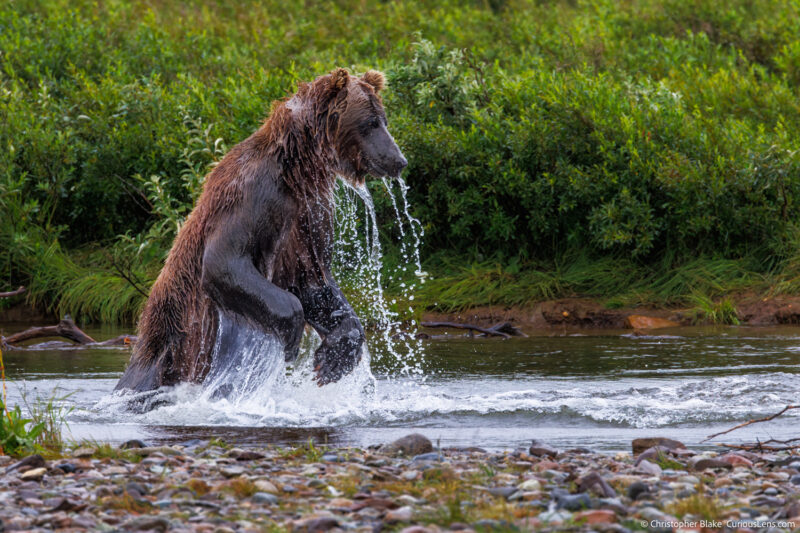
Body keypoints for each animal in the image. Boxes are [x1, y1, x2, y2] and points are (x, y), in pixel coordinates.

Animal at [114, 68, 406, 392]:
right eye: (371, 122)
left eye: (383, 119)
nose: (399, 160)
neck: (298, 169)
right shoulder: (254, 196)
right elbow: (224, 261)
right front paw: (292, 337)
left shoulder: (308, 216)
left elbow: (314, 281)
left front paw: (332, 359)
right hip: (175, 342)